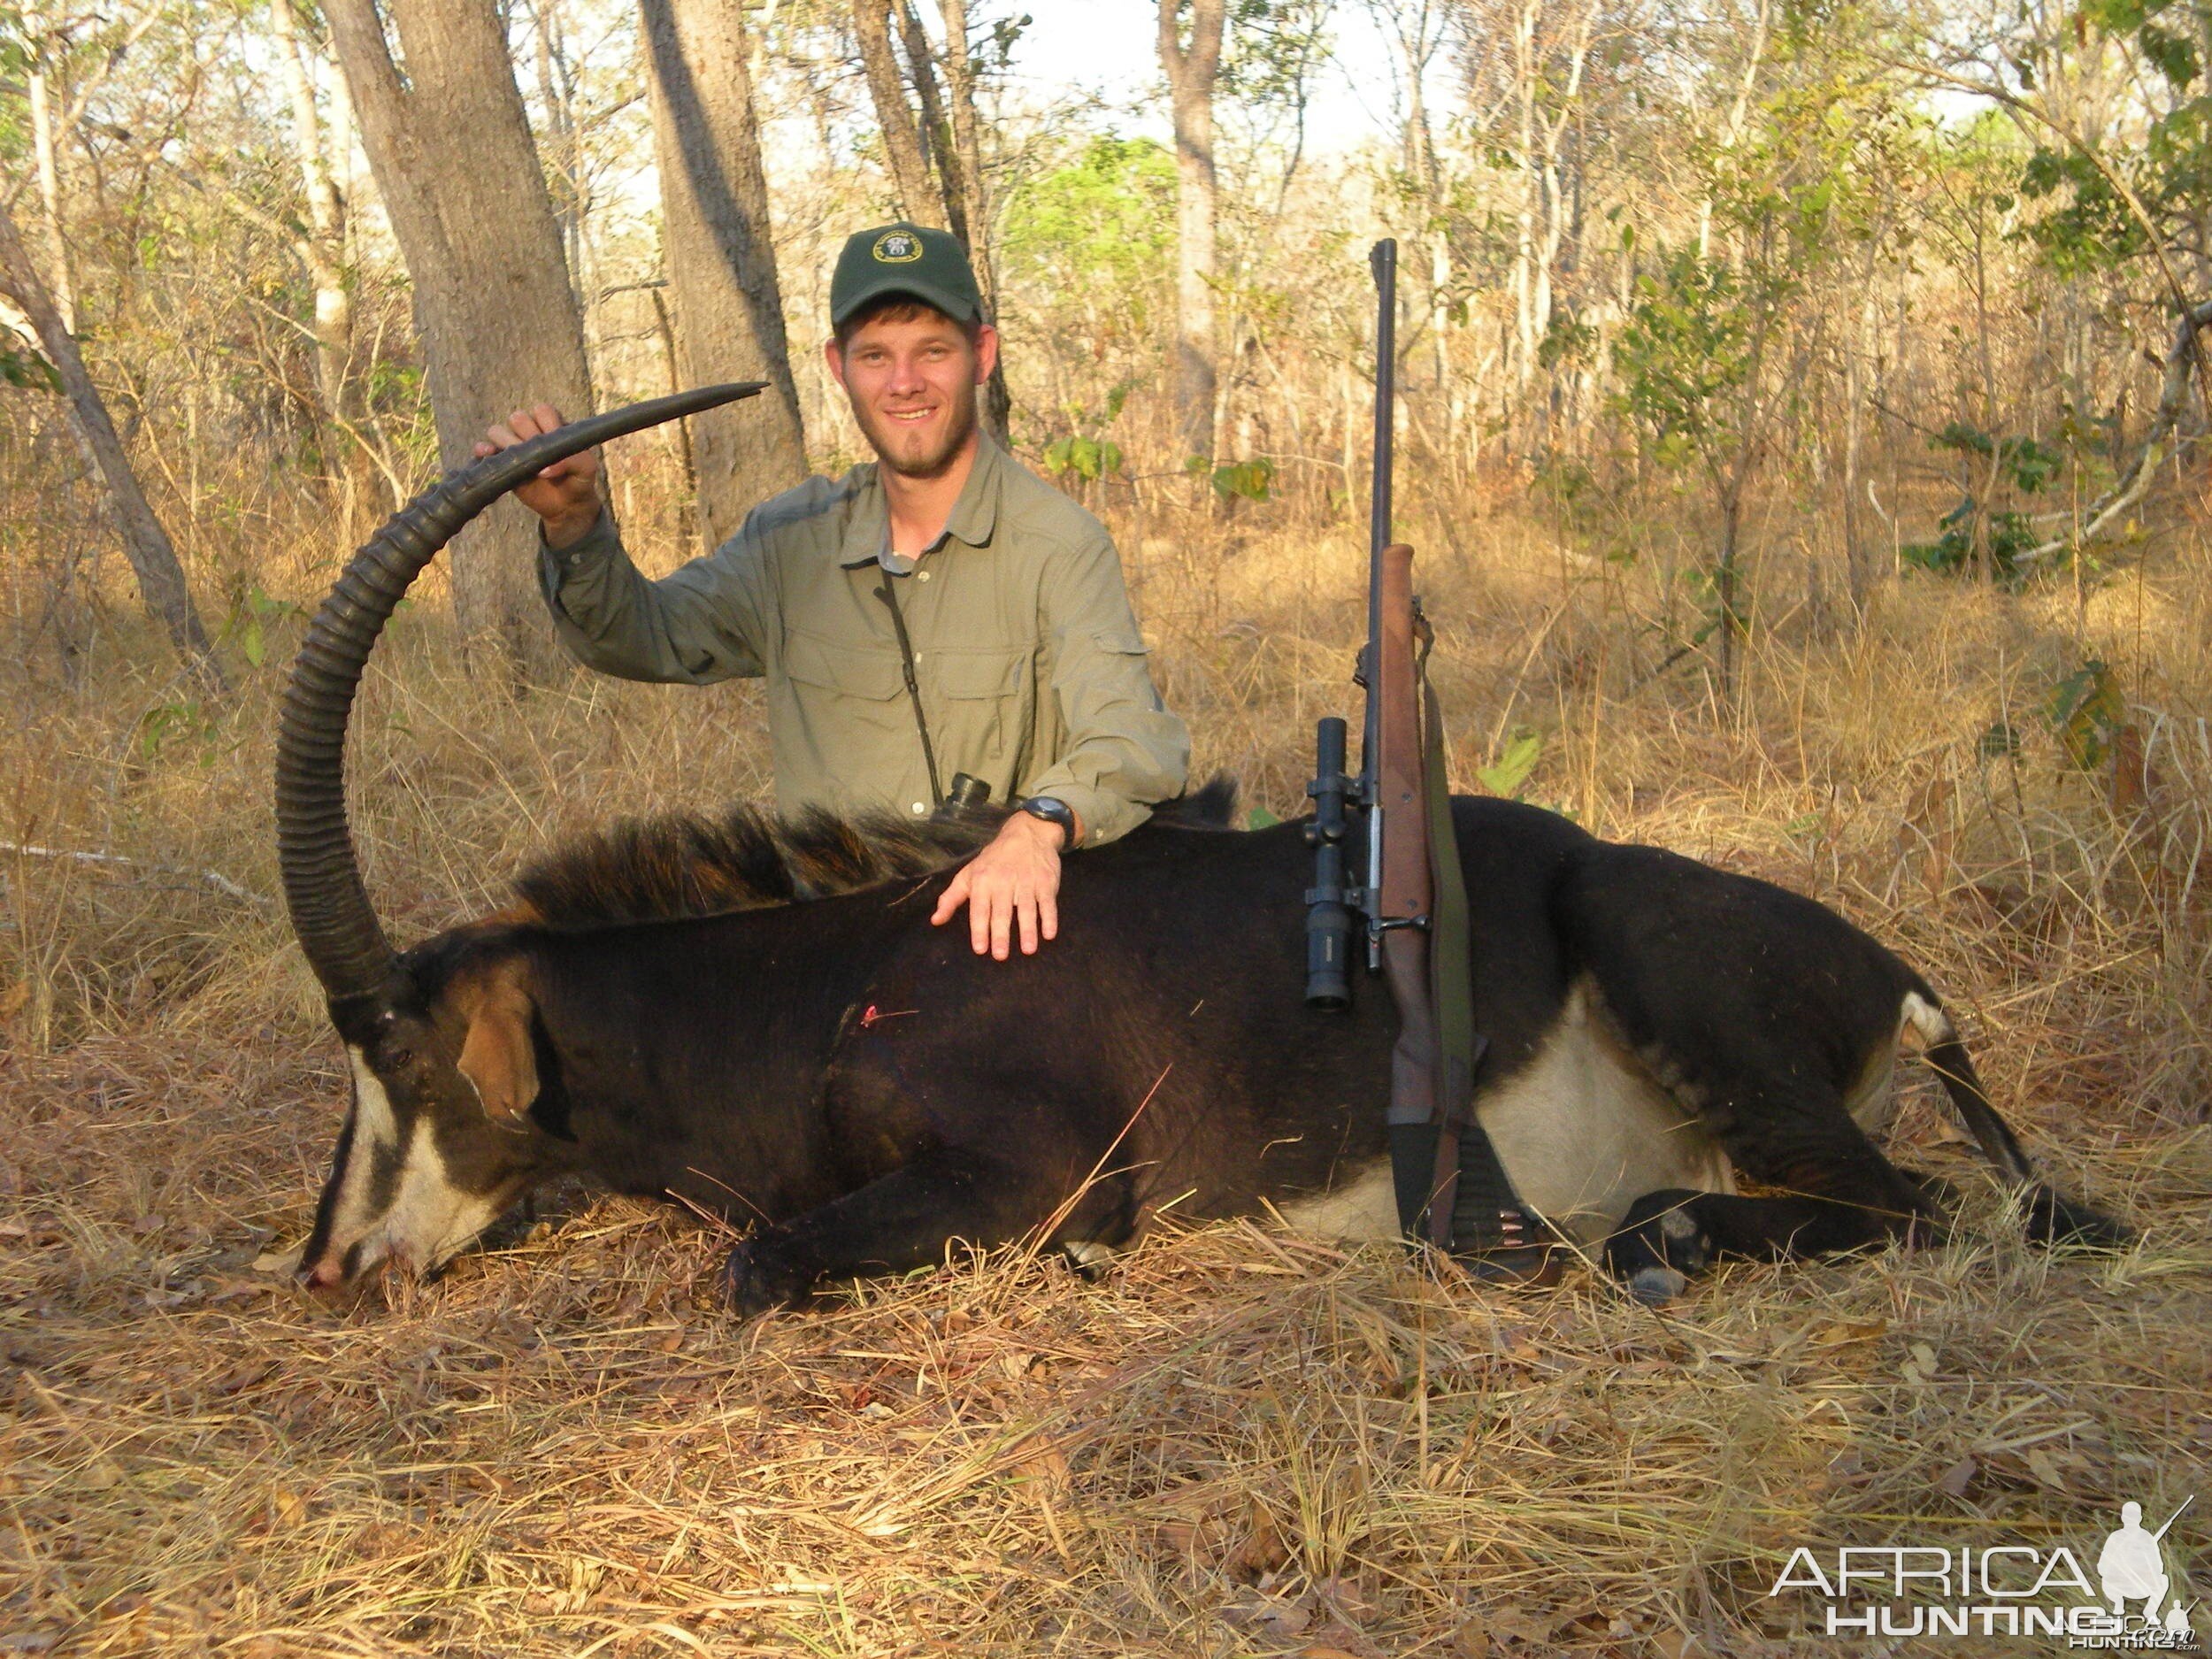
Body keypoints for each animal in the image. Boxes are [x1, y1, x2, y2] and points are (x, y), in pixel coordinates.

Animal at [276, 396, 2124, 1318]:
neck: (831, 992)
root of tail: (1904, 988)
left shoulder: (1031, 1169)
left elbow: (757, 1263)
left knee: (1922, 1209)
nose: (331, 1265)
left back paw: (1660, 1234)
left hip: (1674, 975)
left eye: (404, 1063)